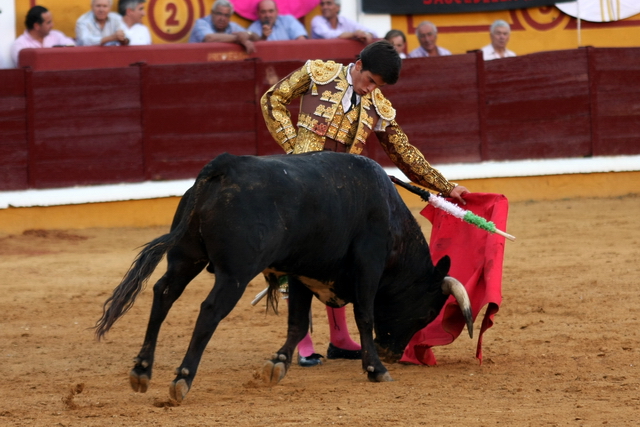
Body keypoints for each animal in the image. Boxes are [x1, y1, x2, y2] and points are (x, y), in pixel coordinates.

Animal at [96, 152, 476, 402]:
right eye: (428, 312)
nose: (393, 353)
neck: (390, 216)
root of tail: (222, 168)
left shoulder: (301, 272)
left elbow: (297, 322)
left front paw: (277, 365)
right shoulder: (369, 264)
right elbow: (364, 315)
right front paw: (376, 369)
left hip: (185, 257)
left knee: (163, 294)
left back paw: (142, 371)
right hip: (235, 273)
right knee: (209, 311)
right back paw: (182, 380)